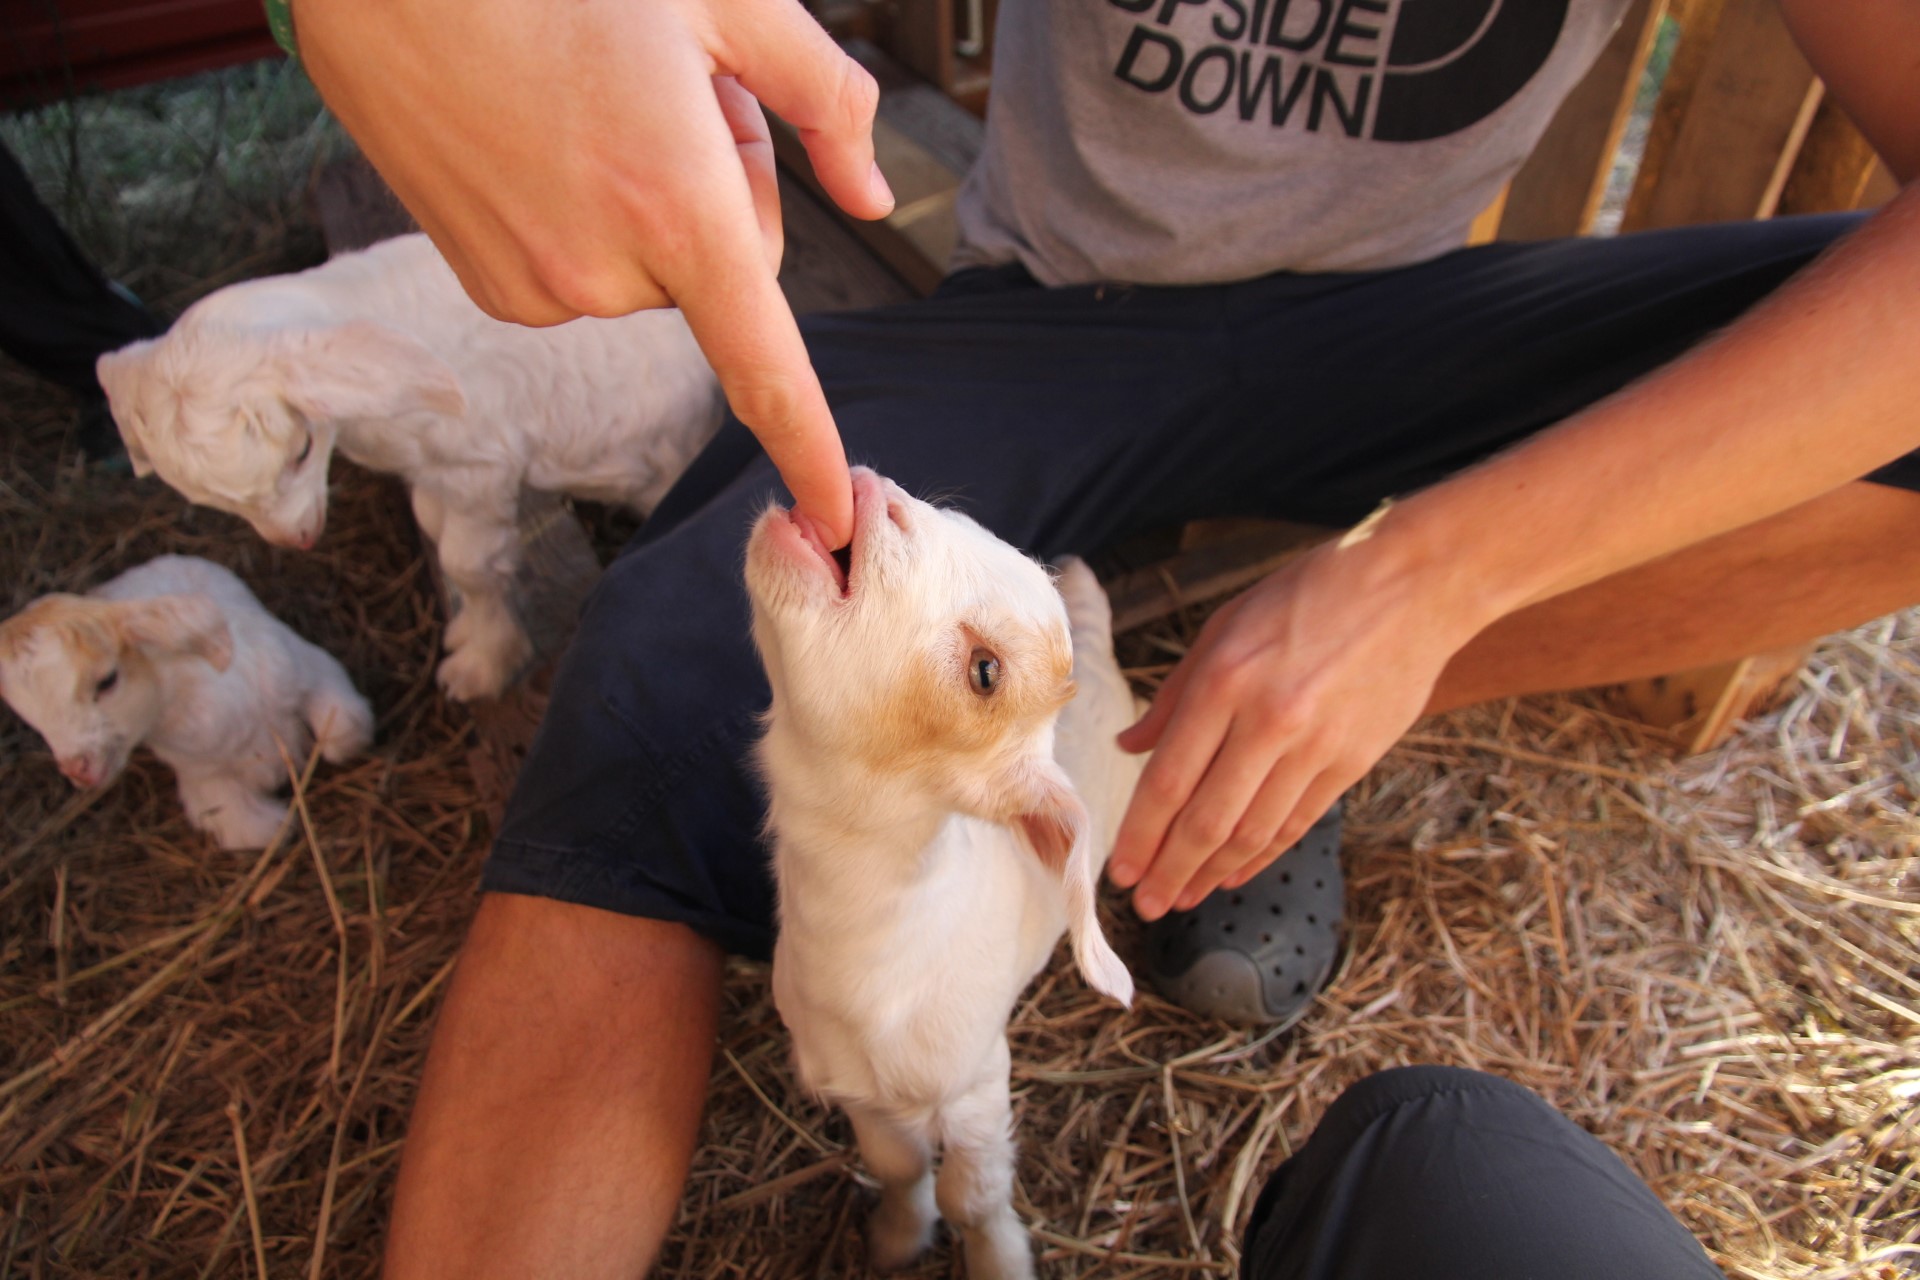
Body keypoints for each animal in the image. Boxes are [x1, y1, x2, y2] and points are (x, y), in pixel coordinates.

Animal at [0, 555, 373, 850]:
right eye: (32, 718)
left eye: (107, 680)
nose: (78, 770)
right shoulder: (203, 777)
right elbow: (259, 832)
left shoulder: (310, 667)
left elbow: (342, 734)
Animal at [94, 232, 726, 701]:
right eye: (207, 499)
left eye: (301, 451)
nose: (298, 539)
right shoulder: (432, 473)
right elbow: (436, 533)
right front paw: (467, 635)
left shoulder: (480, 464)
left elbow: (470, 564)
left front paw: (483, 665)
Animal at [743, 467, 1138, 1280]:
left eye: (985, 672)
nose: (871, 488)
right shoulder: (861, 1096)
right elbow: (897, 1168)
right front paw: (895, 1240)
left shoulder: (978, 1083)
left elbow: (974, 1197)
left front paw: (997, 1260)